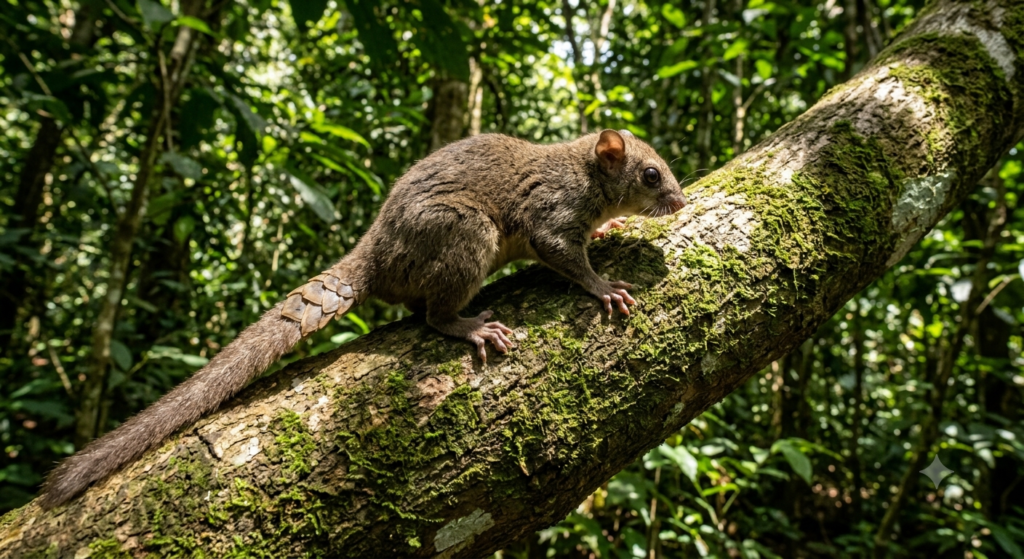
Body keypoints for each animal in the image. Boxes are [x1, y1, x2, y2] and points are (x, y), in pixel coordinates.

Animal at [38, 129, 686, 508]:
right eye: (651, 175)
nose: (678, 201)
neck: (584, 171)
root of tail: (375, 253)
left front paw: (610, 228)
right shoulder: (552, 213)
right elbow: (563, 256)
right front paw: (604, 288)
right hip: (466, 234)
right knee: (431, 316)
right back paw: (469, 326)